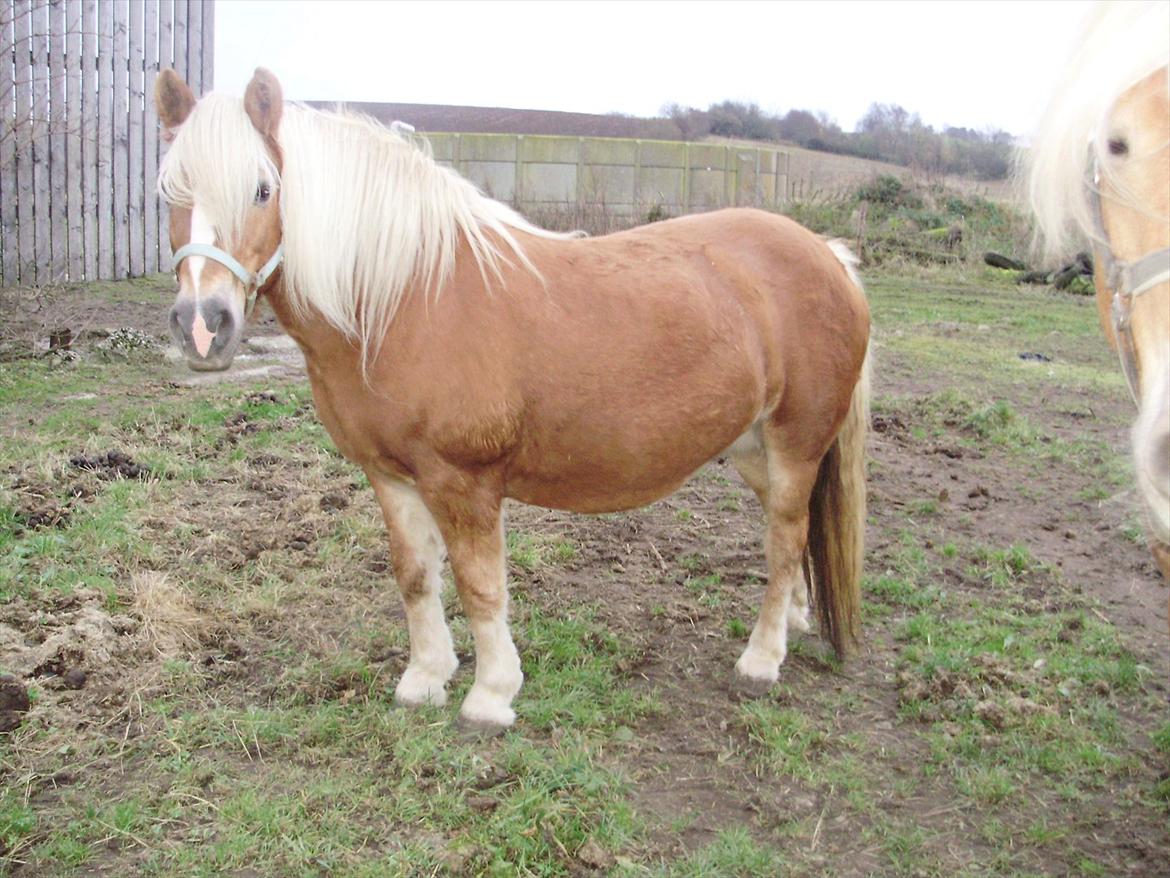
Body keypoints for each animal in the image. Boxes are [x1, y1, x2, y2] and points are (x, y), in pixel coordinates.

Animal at [153, 68, 870, 735]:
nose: (202, 325)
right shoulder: (390, 476)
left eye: (263, 188)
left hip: (795, 444)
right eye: (168, 191)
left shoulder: (463, 483)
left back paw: (761, 659)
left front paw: (490, 696)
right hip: (752, 448)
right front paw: (425, 679)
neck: (405, 297)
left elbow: (480, 586)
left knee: (783, 539)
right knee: (790, 534)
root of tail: (828, 254)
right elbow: (415, 575)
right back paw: (796, 621)